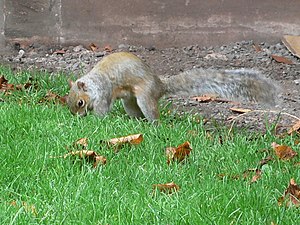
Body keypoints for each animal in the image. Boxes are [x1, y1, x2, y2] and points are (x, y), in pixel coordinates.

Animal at [67, 51, 280, 121]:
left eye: (79, 103)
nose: (77, 116)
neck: (93, 84)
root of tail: (159, 86)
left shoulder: (103, 94)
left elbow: (102, 112)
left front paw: (94, 121)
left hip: (144, 97)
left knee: (152, 114)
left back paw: (153, 124)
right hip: (130, 102)